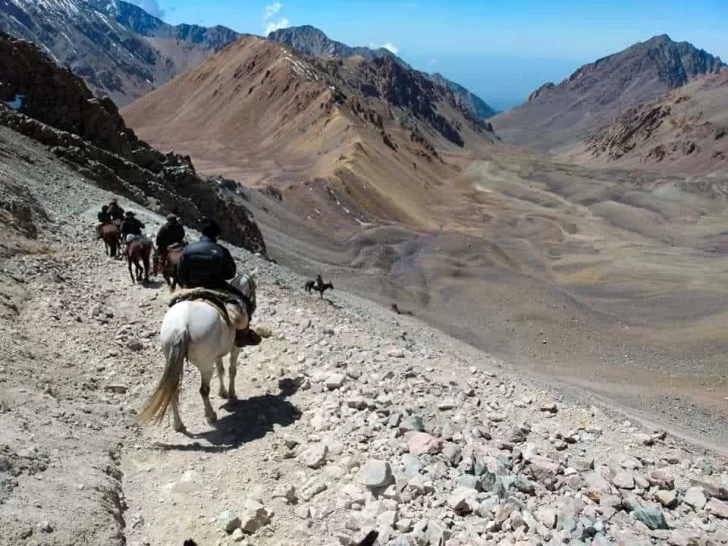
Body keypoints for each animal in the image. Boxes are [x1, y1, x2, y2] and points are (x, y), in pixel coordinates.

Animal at [138, 268, 260, 430]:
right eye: (255, 286)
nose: (254, 305)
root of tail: (181, 324)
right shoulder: (235, 348)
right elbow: (232, 370)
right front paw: (232, 396)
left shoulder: (217, 354)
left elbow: (221, 370)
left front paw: (223, 392)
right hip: (205, 366)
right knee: (203, 391)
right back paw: (210, 415)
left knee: (173, 390)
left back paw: (178, 424)